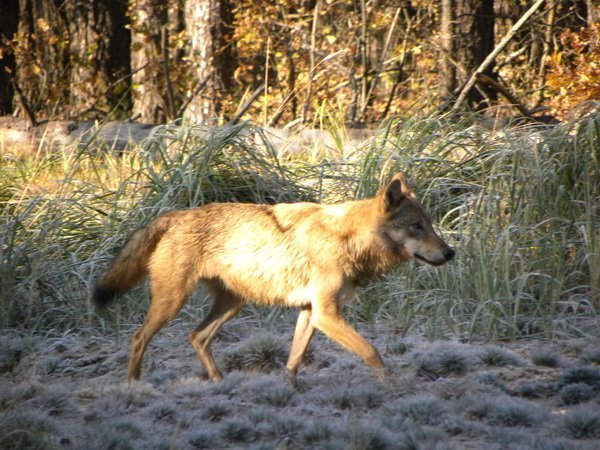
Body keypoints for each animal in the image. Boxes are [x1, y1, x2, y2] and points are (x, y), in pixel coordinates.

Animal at [92, 174, 454, 382]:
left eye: (430, 225)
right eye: (417, 227)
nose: (450, 252)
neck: (349, 240)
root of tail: (174, 215)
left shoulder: (310, 313)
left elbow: (293, 361)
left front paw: (287, 390)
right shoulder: (326, 314)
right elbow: (372, 352)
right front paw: (391, 387)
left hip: (232, 303)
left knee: (197, 336)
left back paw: (220, 381)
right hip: (172, 303)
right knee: (139, 337)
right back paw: (133, 386)